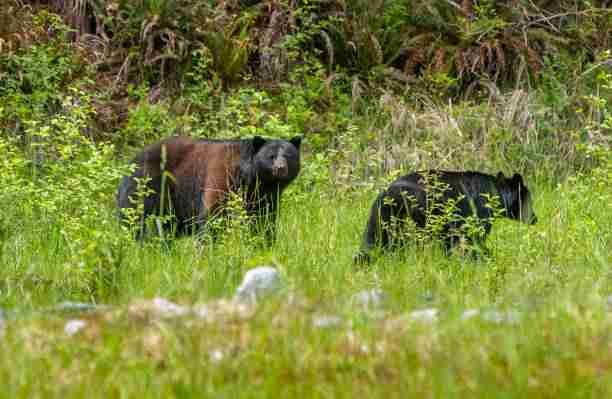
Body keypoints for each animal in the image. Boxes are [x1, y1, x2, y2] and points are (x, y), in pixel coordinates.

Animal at [117, 134, 302, 242]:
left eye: (288, 155)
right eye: (271, 156)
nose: (280, 168)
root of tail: (132, 160)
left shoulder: (264, 195)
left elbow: (264, 219)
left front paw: (264, 242)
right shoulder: (221, 175)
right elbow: (212, 214)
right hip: (147, 182)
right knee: (134, 215)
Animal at [354, 171, 536, 262]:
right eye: (529, 199)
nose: (535, 218)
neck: (494, 193)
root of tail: (390, 194)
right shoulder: (476, 212)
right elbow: (473, 239)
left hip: (380, 215)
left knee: (373, 241)